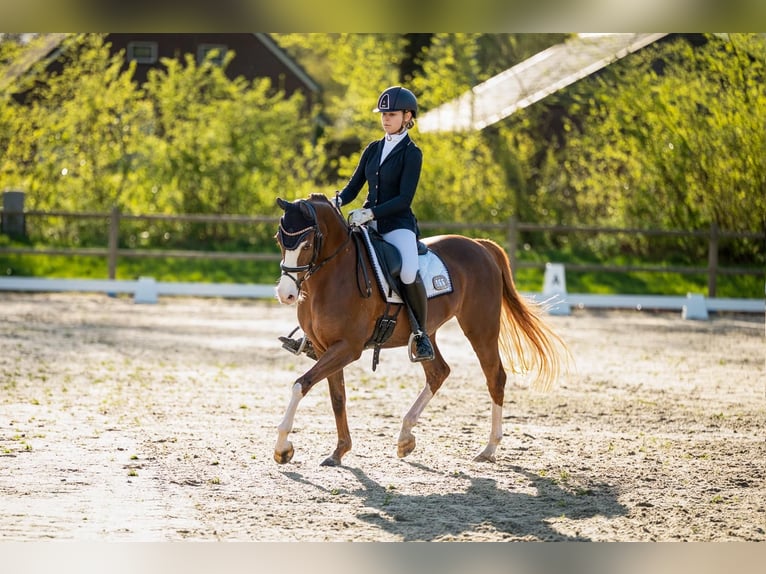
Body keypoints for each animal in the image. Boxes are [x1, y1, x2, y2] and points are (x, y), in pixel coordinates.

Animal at [273, 193, 567, 466]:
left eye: (307, 244)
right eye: (279, 239)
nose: (286, 294)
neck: (332, 275)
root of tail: (479, 245)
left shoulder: (348, 348)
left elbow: (301, 384)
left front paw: (282, 447)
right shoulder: (325, 347)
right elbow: (337, 397)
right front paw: (339, 451)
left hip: (480, 327)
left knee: (495, 377)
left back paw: (489, 448)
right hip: (427, 333)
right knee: (438, 372)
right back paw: (405, 437)